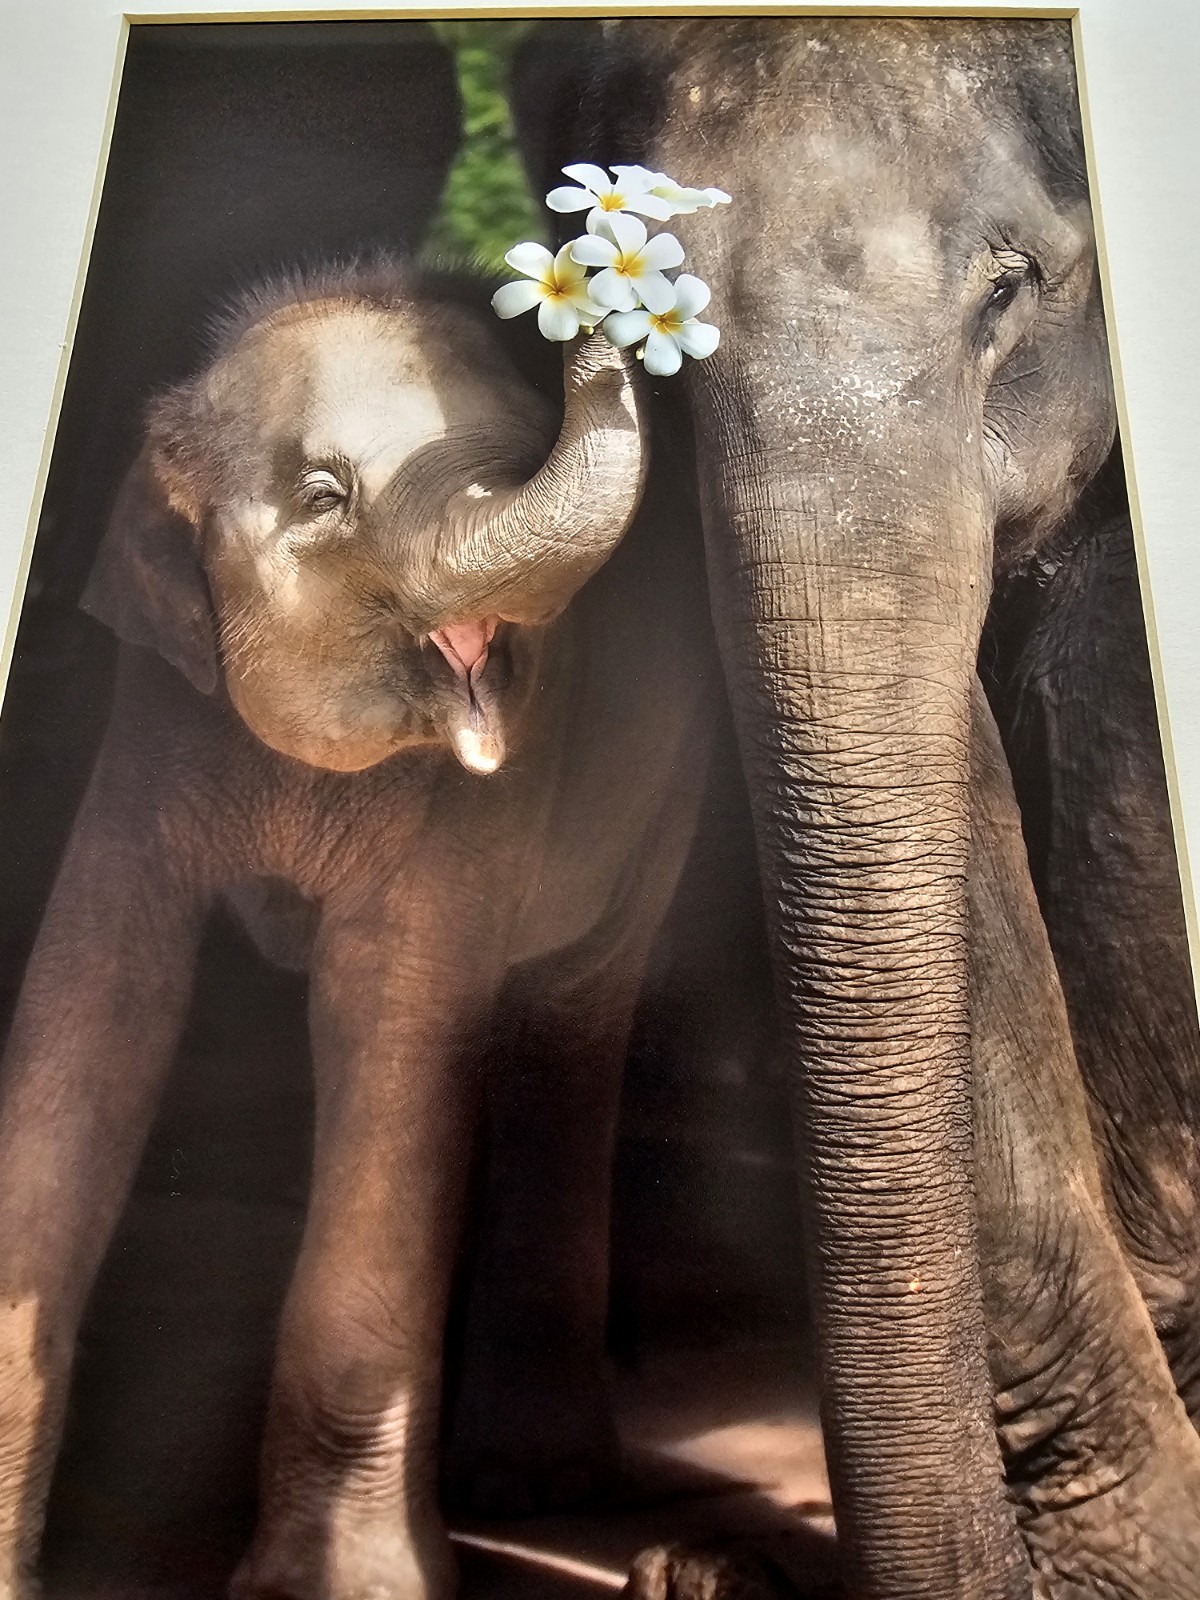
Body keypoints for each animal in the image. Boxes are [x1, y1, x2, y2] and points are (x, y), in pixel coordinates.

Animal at [0, 266, 718, 1600]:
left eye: (525, 440)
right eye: (325, 497)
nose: (601, 285)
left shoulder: (478, 808)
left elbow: (392, 1031)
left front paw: (344, 1588)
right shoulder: (153, 727)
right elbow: (94, 1012)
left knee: (568, 1024)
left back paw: (534, 1486)